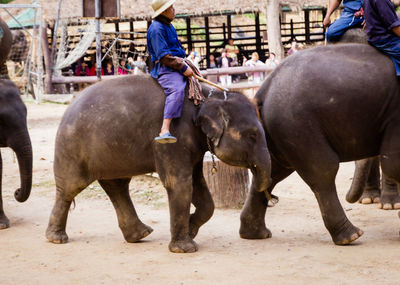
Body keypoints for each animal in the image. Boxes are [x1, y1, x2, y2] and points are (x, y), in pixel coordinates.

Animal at [46, 74, 272, 252]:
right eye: (252, 135)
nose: (272, 198)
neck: (208, 96)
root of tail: (68, 108)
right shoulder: (173, 136)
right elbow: (179, 182)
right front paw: (185, 249)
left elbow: (198, 184)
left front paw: (191, 229)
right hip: (72, 148)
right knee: (70, 188)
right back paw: (56, 239)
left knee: (117, 186)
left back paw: (140, 235)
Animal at [239, 43, 400, 244]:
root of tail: (264, 89)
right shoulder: (396, 114)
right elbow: (393, 164)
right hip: (297, 125)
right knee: (323, 171)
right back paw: (350, 236)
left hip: (278, 133)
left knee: (270, 173)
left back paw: (254, 234)